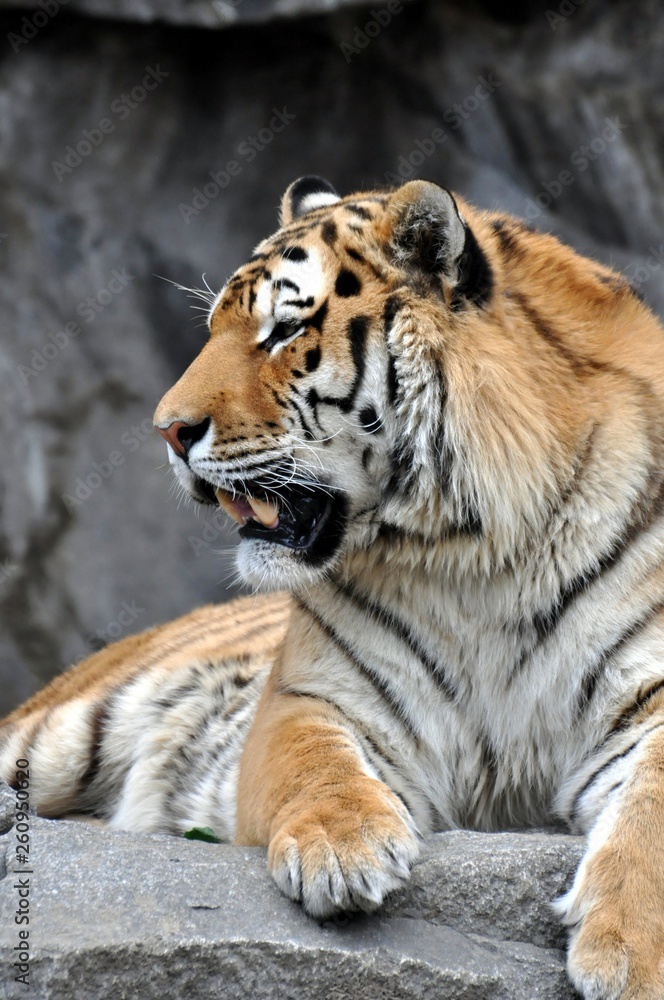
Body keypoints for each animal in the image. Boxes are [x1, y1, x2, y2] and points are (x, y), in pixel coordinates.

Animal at [2, 175, 664, 998]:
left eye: (283, 331)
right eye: (215, 327)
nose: (167, 431)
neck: (475, 557)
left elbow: (656, 809)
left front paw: (629, 955)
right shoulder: (311, 694)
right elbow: (313, 761)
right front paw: (339, 850)